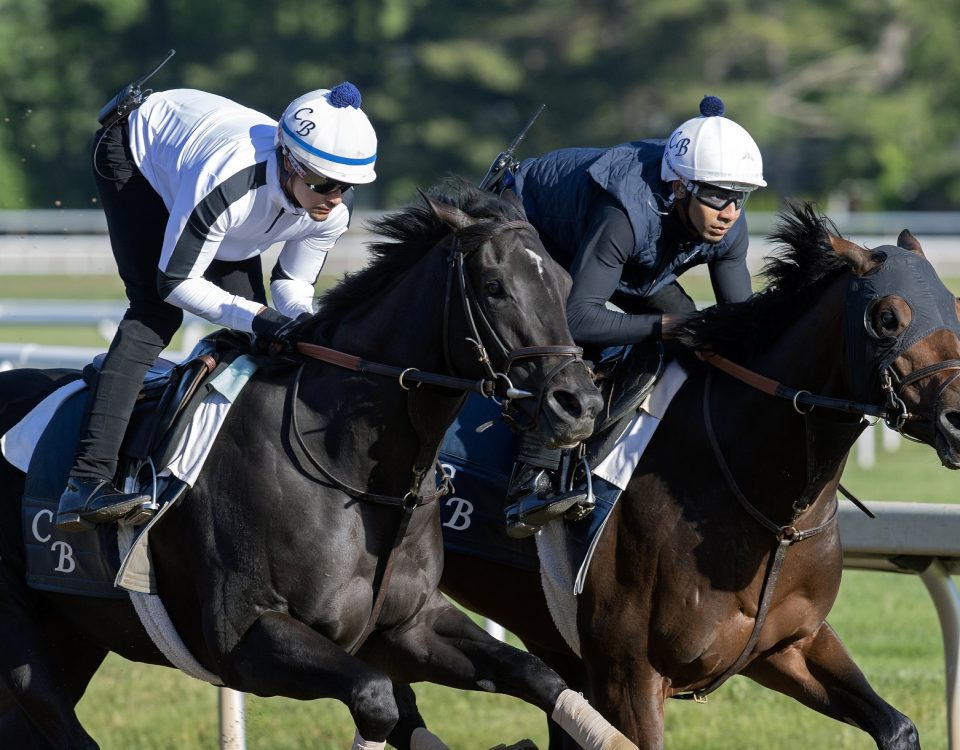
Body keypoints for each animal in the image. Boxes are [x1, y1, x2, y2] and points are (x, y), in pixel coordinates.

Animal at [0, 178, 644, 750]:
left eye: (564, 283)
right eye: (493, 286)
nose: (579, 404)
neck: (357, 476)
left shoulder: (409, 625)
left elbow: (539, 676)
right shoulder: (249, 640)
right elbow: (378, 702)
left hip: (76, 631)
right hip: (25, 642)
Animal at [438, 204, 960, 750]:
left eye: (957, 307)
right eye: (887, 318)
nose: (958, 421)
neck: (772, 512)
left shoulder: (788, 644)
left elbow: (897, 726)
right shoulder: (629, 675)